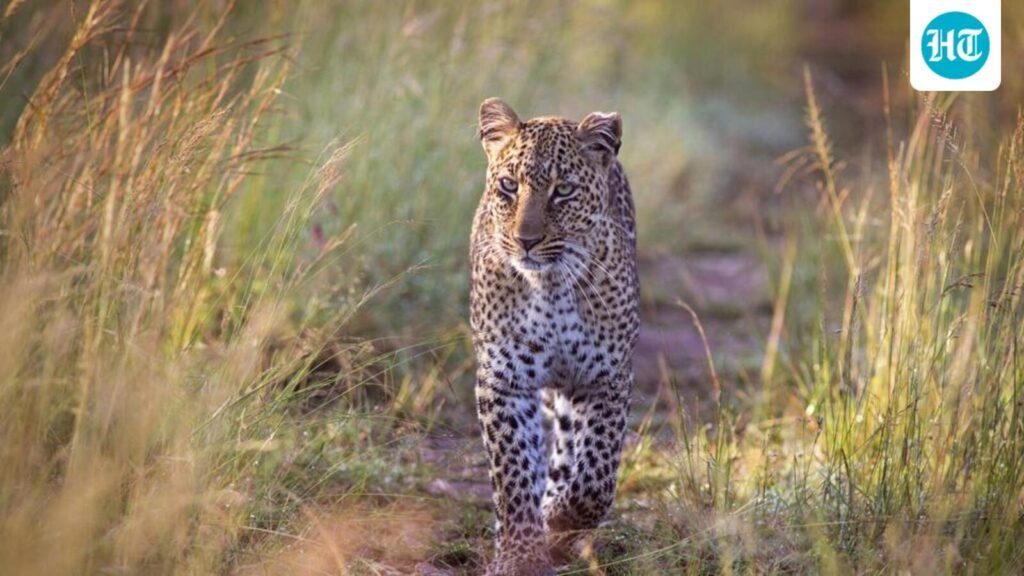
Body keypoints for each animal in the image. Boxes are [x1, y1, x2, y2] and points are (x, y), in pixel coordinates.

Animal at [469, 97, 640, 576]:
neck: (549, 289)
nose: (525, 240)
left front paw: (561, 520)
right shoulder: (504, 381)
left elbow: (595, 476)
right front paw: (519, 555)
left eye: (562, 191)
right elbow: (512, 475)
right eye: (508, 186)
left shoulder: (606, 378)